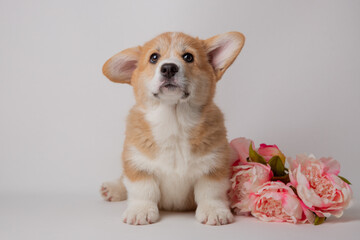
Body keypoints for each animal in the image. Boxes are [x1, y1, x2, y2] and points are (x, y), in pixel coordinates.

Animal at [101, 31, 245, 225]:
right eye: (154, 57)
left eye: (188, 57)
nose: (168, 68)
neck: (173, 121)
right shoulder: (137, 163)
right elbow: (143, 190)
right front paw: (140, 210)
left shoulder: (214, 165)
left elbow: (211, 192)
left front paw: (214, 211)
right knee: (123, 179)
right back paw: (112, 188)